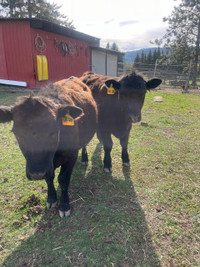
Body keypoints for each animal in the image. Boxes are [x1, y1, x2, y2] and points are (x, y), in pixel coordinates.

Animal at [0, 77, 97, 218]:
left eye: (54, 132)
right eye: (17, 133)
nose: (37, 174)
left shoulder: (71, 155)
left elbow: (63, 179)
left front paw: (64, 205)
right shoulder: (47, 167)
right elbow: (49, 178)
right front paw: (51, 199)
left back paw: (84, 158)